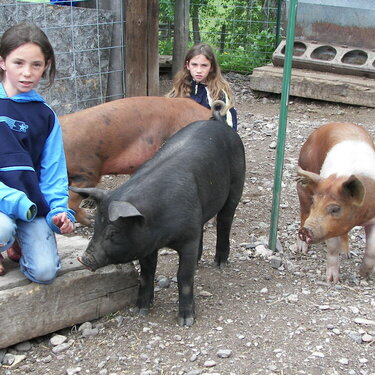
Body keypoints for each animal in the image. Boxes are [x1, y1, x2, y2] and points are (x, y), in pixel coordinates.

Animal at [71, 114, 247, 326]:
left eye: (114, 232)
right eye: (96, 225)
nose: (84, 258)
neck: (161, 231)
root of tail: (220, 123)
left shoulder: (187, 238)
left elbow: (184, 276)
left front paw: (186, 321)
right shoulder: (146, 245)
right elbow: (147, 274)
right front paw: (140, 311)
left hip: (237, 183)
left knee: (224, 221)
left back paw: (220, 263)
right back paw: (199, 261)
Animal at [296, 122, 375, 284]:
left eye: (335, 209)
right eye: (315, 202)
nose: (306, 230)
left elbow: (372, 249)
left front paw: (363, 274)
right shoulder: (328, 227)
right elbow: (332, 248)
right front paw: (332, 280)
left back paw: (346, 254)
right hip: (305, 177)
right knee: (303, 213)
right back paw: (301, 249)